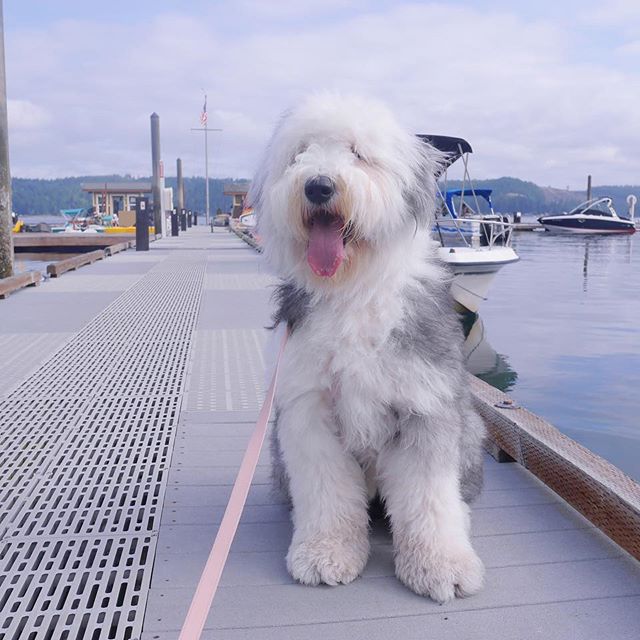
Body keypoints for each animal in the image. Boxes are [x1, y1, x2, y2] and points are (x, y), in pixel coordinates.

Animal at [250, 92, 484, 604]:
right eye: (299, 153)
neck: (353, 289)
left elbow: (429, 495)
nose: (318, 186)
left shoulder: (425, 405)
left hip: (470, 427)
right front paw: (325, 553)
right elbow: (326, 489)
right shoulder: (308, 409)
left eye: (358, 153)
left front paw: (441, 564)